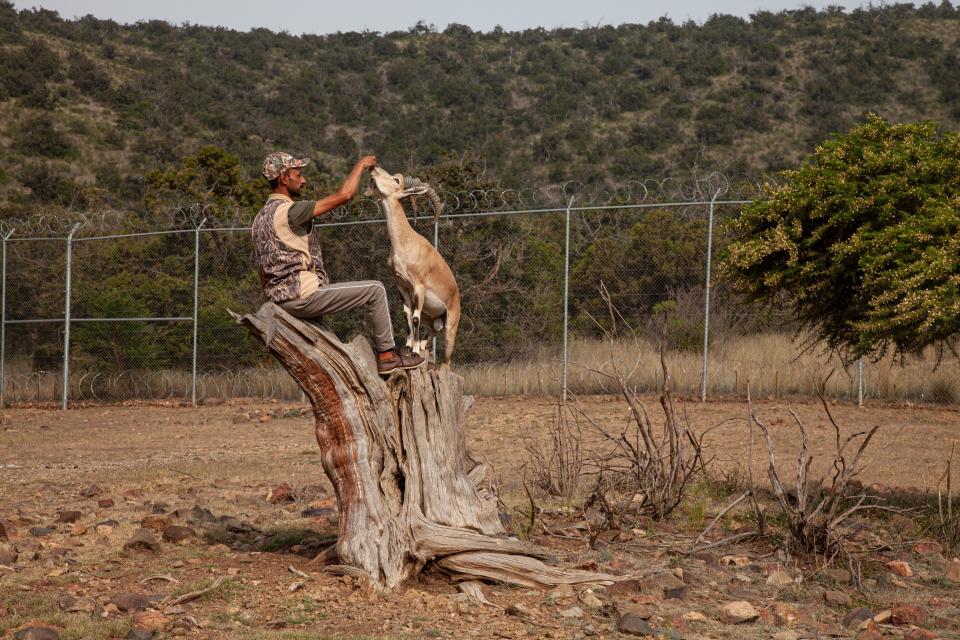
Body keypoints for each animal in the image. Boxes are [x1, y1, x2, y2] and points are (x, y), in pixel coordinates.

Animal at [366, 166, 460, 364]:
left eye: (396, 180)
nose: (373, 168)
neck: (406, 243)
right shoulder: (402, 285)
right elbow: (406, 314)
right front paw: (409, 346)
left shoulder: (419, 286)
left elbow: (414, 318)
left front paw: (415, 351)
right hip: (432, 317)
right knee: (434, 328)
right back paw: (423, 345)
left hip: (451, 327)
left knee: (447, 360)